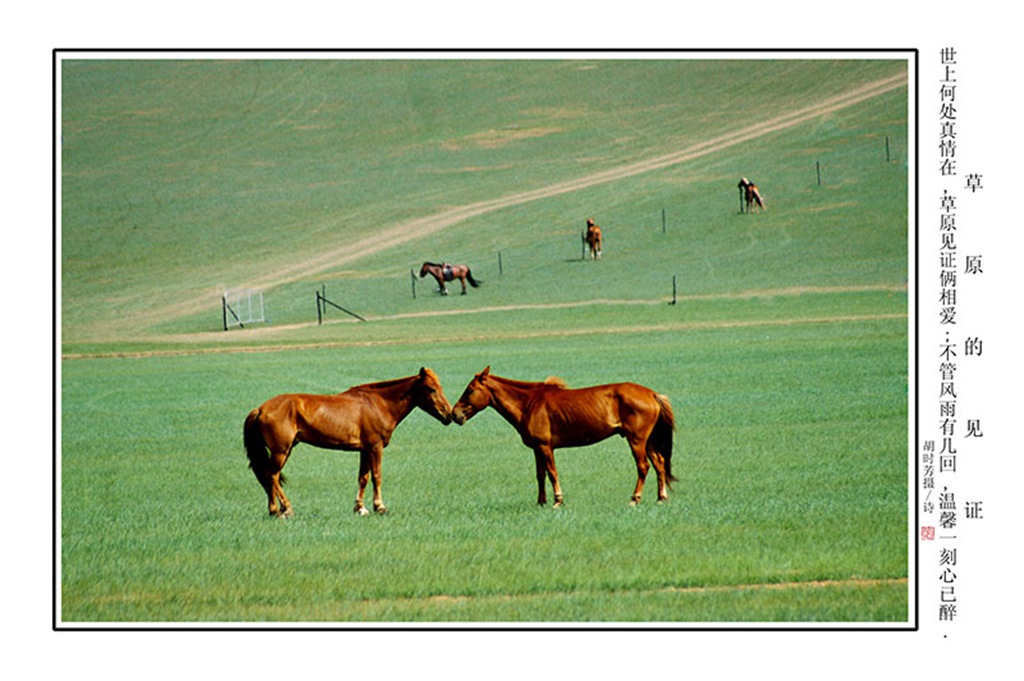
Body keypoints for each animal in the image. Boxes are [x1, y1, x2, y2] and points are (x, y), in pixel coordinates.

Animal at [243, 366, 452, 516]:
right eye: (432, 389)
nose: (449, 415)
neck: (378, 403)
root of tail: (260, 409)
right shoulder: (375, 447)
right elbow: (377, 476)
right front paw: (380, 507)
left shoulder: (364, 450)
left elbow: (363, 478)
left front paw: (360, 508)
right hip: (281, 451)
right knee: (271, 476)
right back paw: (280, 510)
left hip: (285, 451)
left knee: (271, 477)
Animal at [452, 366, 675, 503]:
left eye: (470, 390)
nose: (455, 414)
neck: (528, 403)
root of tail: (652, 394)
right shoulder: (536, 449)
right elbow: (540, 475)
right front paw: (540, 502)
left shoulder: (545, 447)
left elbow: (552, 473)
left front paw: (557, 501)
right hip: (647, 441)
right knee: (659, 463)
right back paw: (660, 498)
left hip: (636, 440)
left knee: (643, 466)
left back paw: (635, 499)